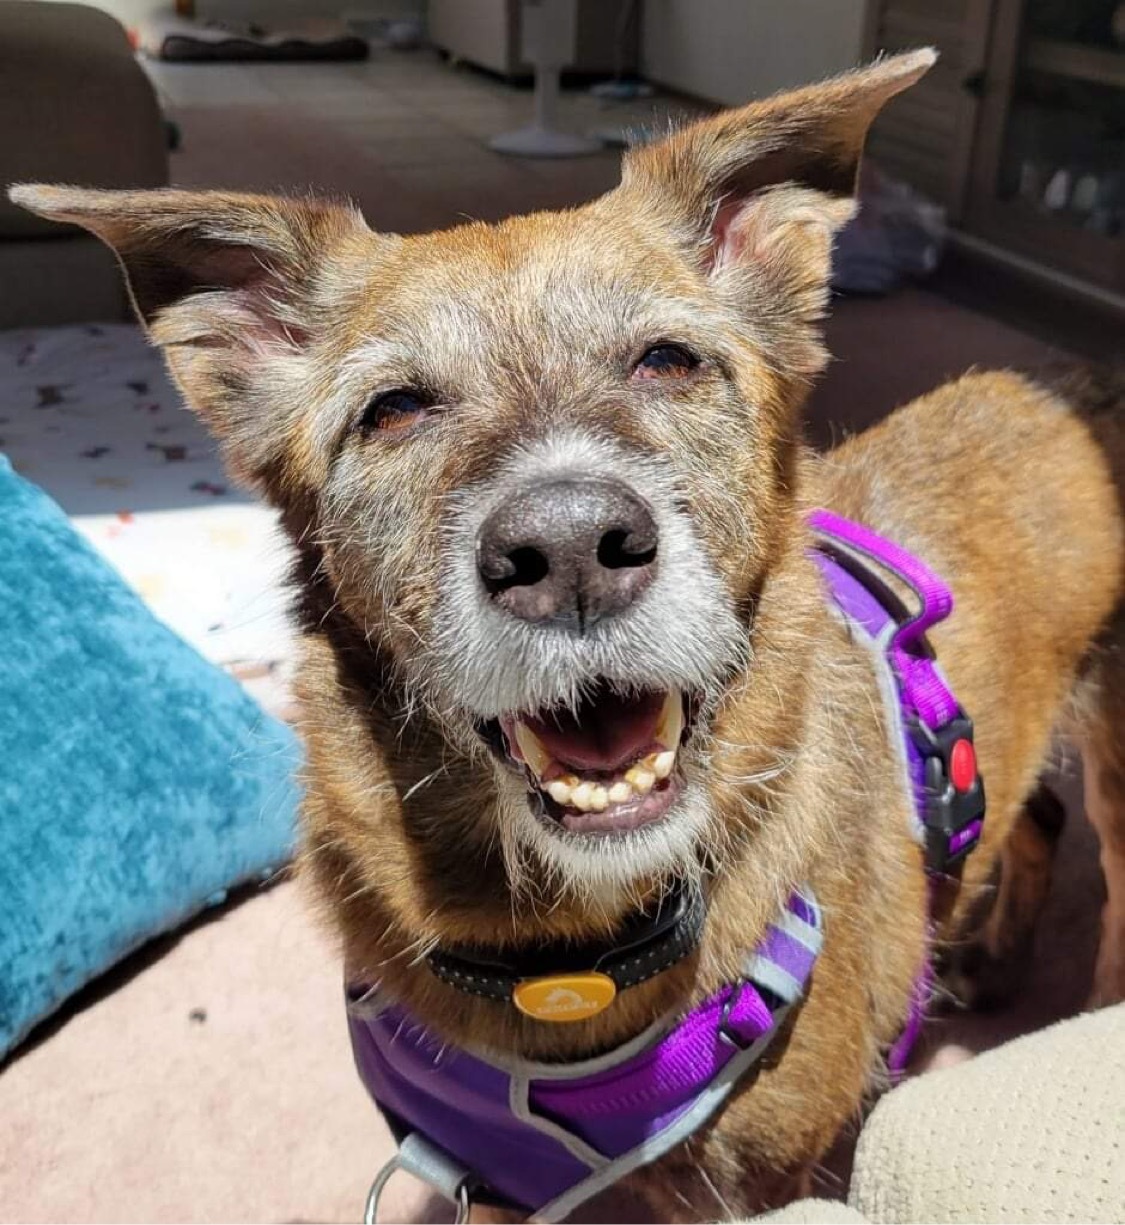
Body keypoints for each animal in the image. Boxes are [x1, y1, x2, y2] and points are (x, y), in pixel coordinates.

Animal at [13, 47, 1122, 1225]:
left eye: (669, 360)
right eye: (393, 409)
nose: (573, 547)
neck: (560, 961)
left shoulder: (756, 1186)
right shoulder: (486, 1179)